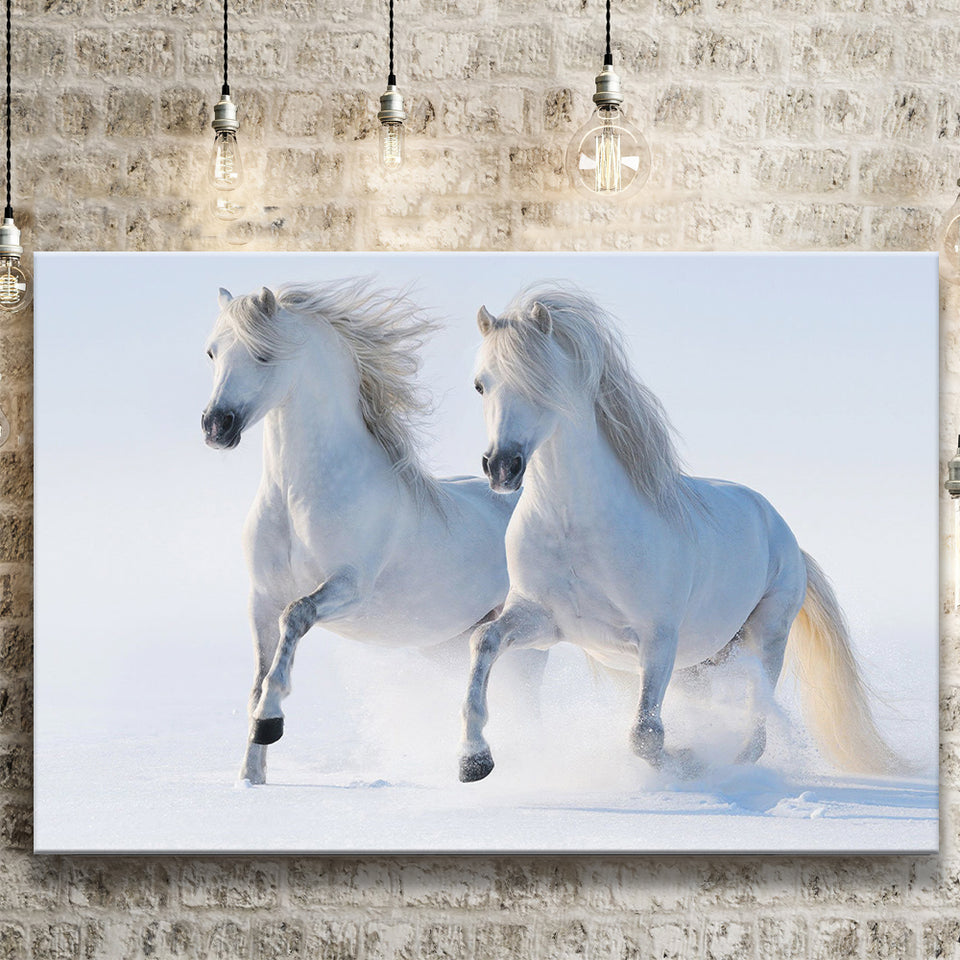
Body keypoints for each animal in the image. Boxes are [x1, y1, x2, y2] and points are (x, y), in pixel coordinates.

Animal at [201, 281, 544, 785]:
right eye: (212, 352)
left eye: (263, 354)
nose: (216, 426)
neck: (296, 497)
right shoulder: (261, 598)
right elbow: (257, 679)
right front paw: (251, 777)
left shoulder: (348, 587)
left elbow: (295, 618)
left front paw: (270, 723)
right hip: (448, 643)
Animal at [457, 285, 899, 783]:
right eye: (480, 384)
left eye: (542, 381)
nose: (502, 467)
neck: (575, 528)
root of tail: (784, 533)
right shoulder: (543, 621)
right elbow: (483, 641)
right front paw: (473, 760)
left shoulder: (658, 640)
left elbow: (646, 735)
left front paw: (687, 762)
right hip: (703, 662)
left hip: (766, 637)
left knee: (757, 724)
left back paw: (730, 766)